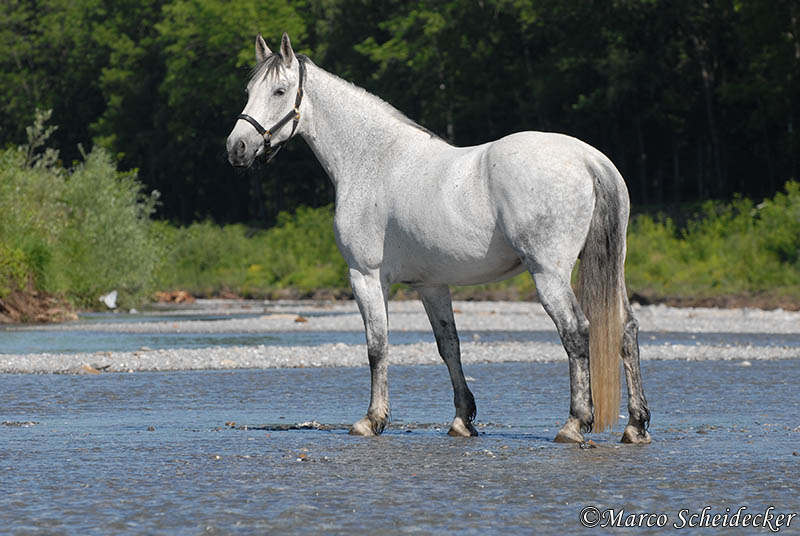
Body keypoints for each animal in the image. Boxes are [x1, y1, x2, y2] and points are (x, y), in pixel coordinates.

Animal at [225, 34, 648, 444]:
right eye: (248, 90)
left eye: (279, 91)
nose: (237, 147)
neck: (374, 159)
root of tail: (587, 159)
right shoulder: (431, 284)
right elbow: (450, 347)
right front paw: (462, 420)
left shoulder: (365, 276)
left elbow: (377, 346)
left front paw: (371, 420)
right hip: (613, 268)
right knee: (625, 329)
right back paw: (635, 426)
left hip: (549, 273)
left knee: (576, 332)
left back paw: (575, 423)